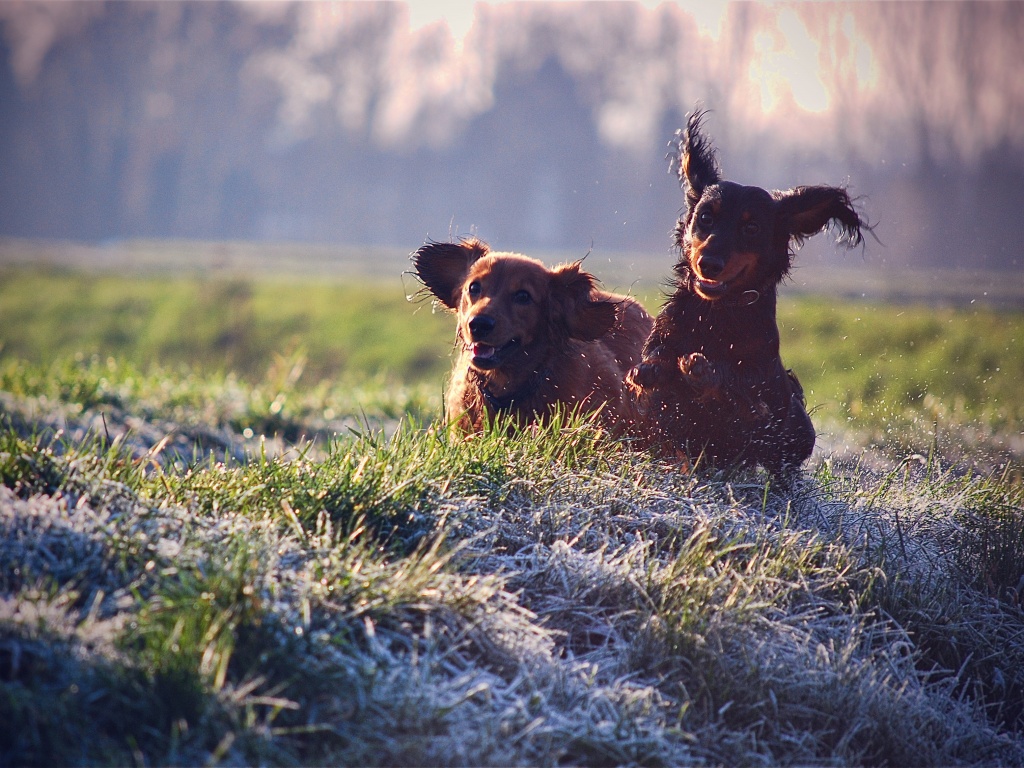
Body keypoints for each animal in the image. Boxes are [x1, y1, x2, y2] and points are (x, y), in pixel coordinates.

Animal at [626, 111, 868, 479]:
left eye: (751, 227)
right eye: (705, 217)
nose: (708, 264)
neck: (717, 313)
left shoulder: (761, 397)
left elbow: (741, 392)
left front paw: (703, 371)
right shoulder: (661, 354)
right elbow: (656, 366)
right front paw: (652, 370)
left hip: (798, 429)